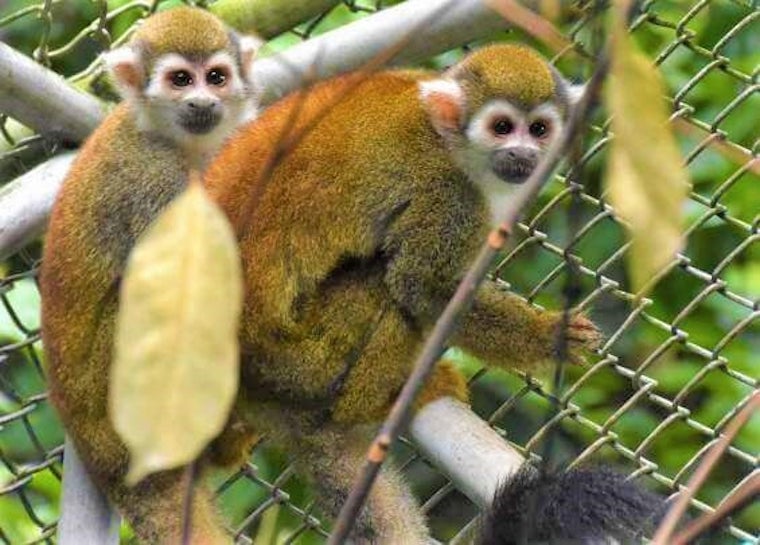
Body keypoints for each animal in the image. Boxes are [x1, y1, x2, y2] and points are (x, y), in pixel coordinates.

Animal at [200, 43, 621, 543]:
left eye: (539, 128)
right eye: (502, 127)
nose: (523, 152)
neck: (450, 141)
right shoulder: (447, 191)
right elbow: (426, 290)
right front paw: (549, 336)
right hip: (298, 360)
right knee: (384, 290)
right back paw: (372, 404)